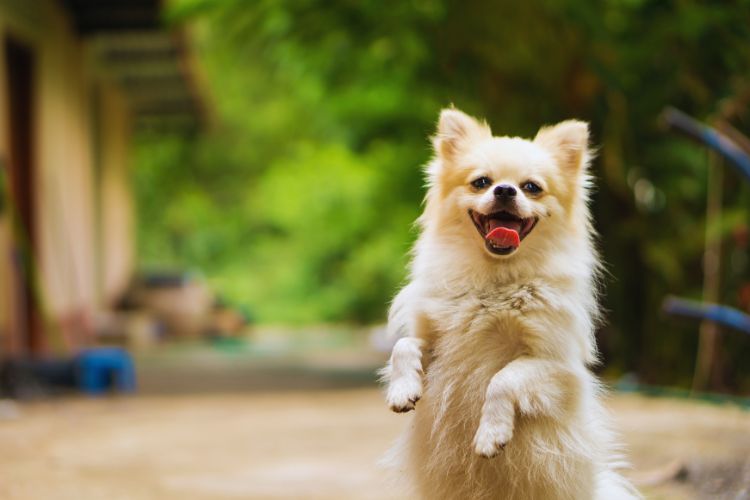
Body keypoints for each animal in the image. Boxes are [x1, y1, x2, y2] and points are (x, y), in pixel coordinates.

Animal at [382, 108, 640, 500]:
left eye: (532, 187)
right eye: (481, 182)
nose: (504, 190)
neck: (495, 280)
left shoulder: (554, 366)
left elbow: (503, 379)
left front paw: (491, 435)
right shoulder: (438, 344)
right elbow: (405, 345)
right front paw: (402, 389)